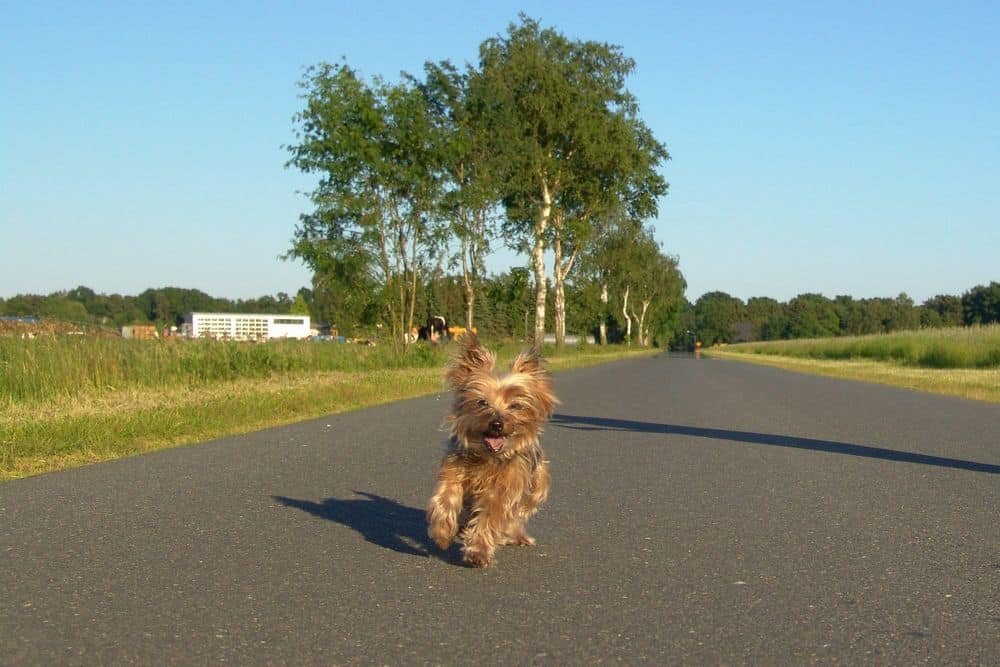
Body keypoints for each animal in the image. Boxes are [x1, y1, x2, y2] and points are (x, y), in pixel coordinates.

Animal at [426, 334, 560, 568]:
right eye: (482, 402)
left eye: (515, 406)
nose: (497, 424)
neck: (487, 456)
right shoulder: (454, 471)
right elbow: (446, 498)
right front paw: (442, 532)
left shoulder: (505, 488)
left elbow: (490, 516)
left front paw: (478, 551)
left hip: (538, 484)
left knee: (518, 512)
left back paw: (516, 535)